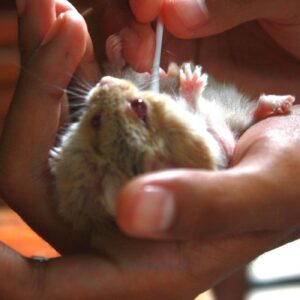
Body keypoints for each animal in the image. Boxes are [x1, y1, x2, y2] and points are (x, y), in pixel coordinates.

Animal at [52, 33, 296, 234]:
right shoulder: (214, 143)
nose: (103, 82)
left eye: (95, 121)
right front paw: (193, 79)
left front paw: (55, 155)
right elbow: (198, 110)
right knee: (251, 114)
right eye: (138, 105)